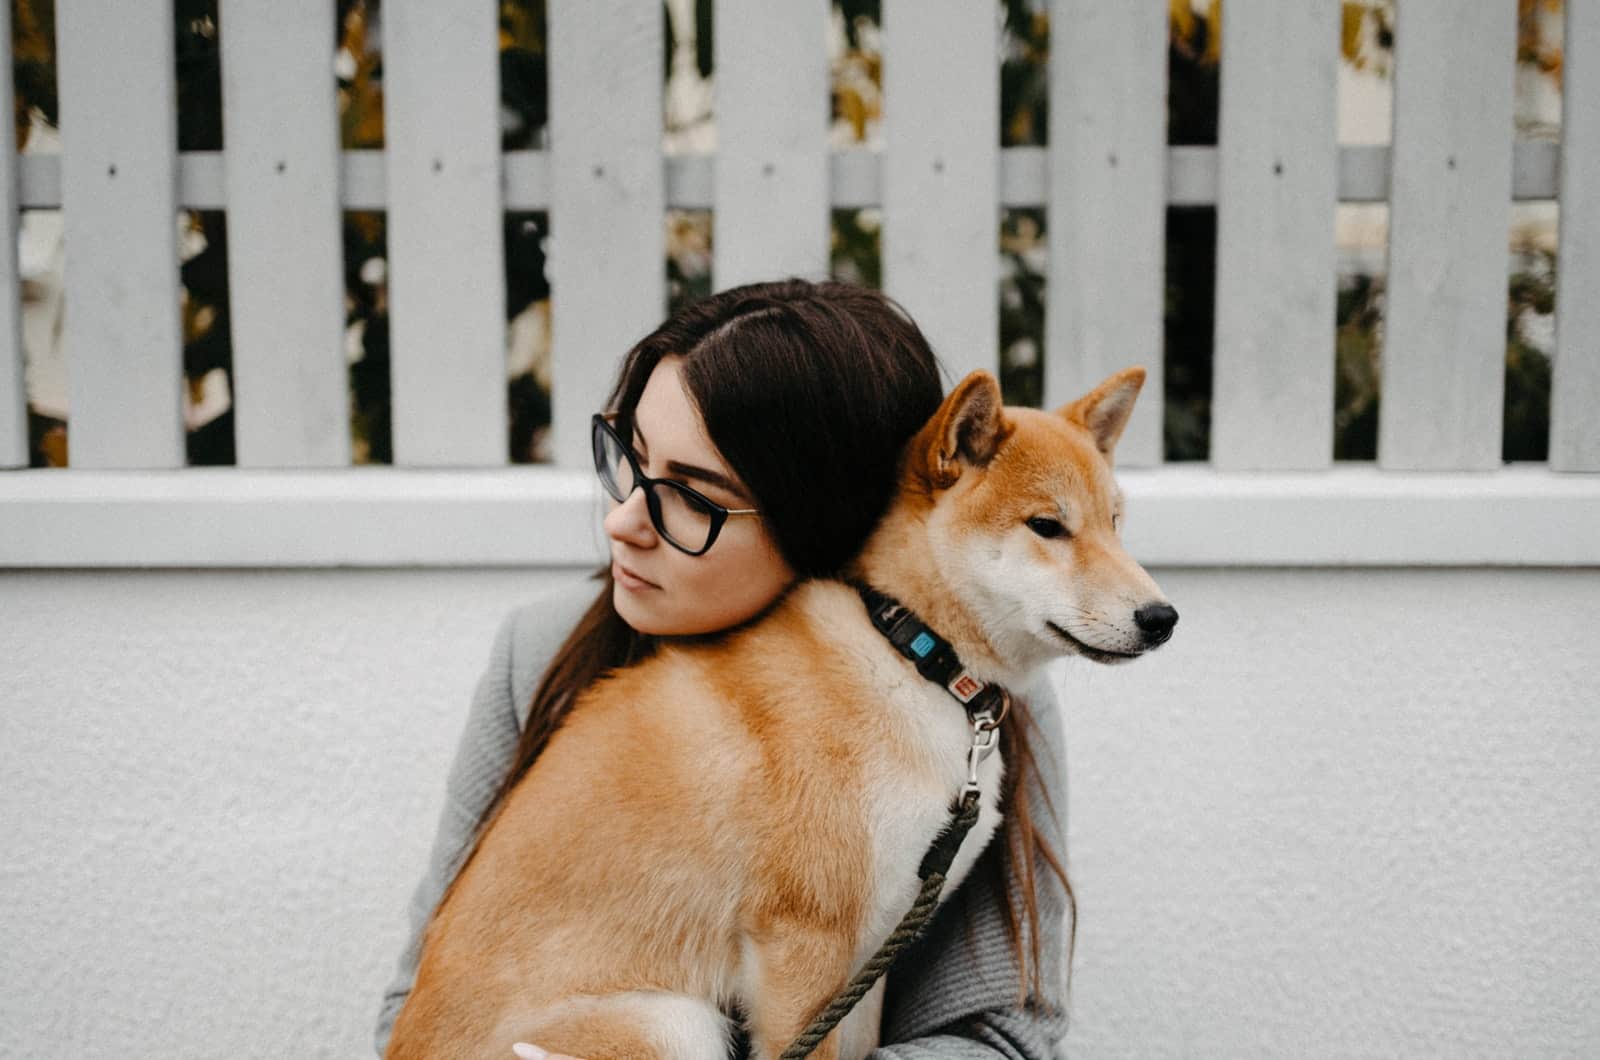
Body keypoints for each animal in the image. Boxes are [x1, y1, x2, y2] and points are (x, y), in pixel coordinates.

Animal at [387, 368, 1177, 1060]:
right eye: (1048, 526)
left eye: (1115, 524)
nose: (1162, 617)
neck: (912, 657)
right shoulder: (804, 939)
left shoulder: (870, 951)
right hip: (674, 1023)